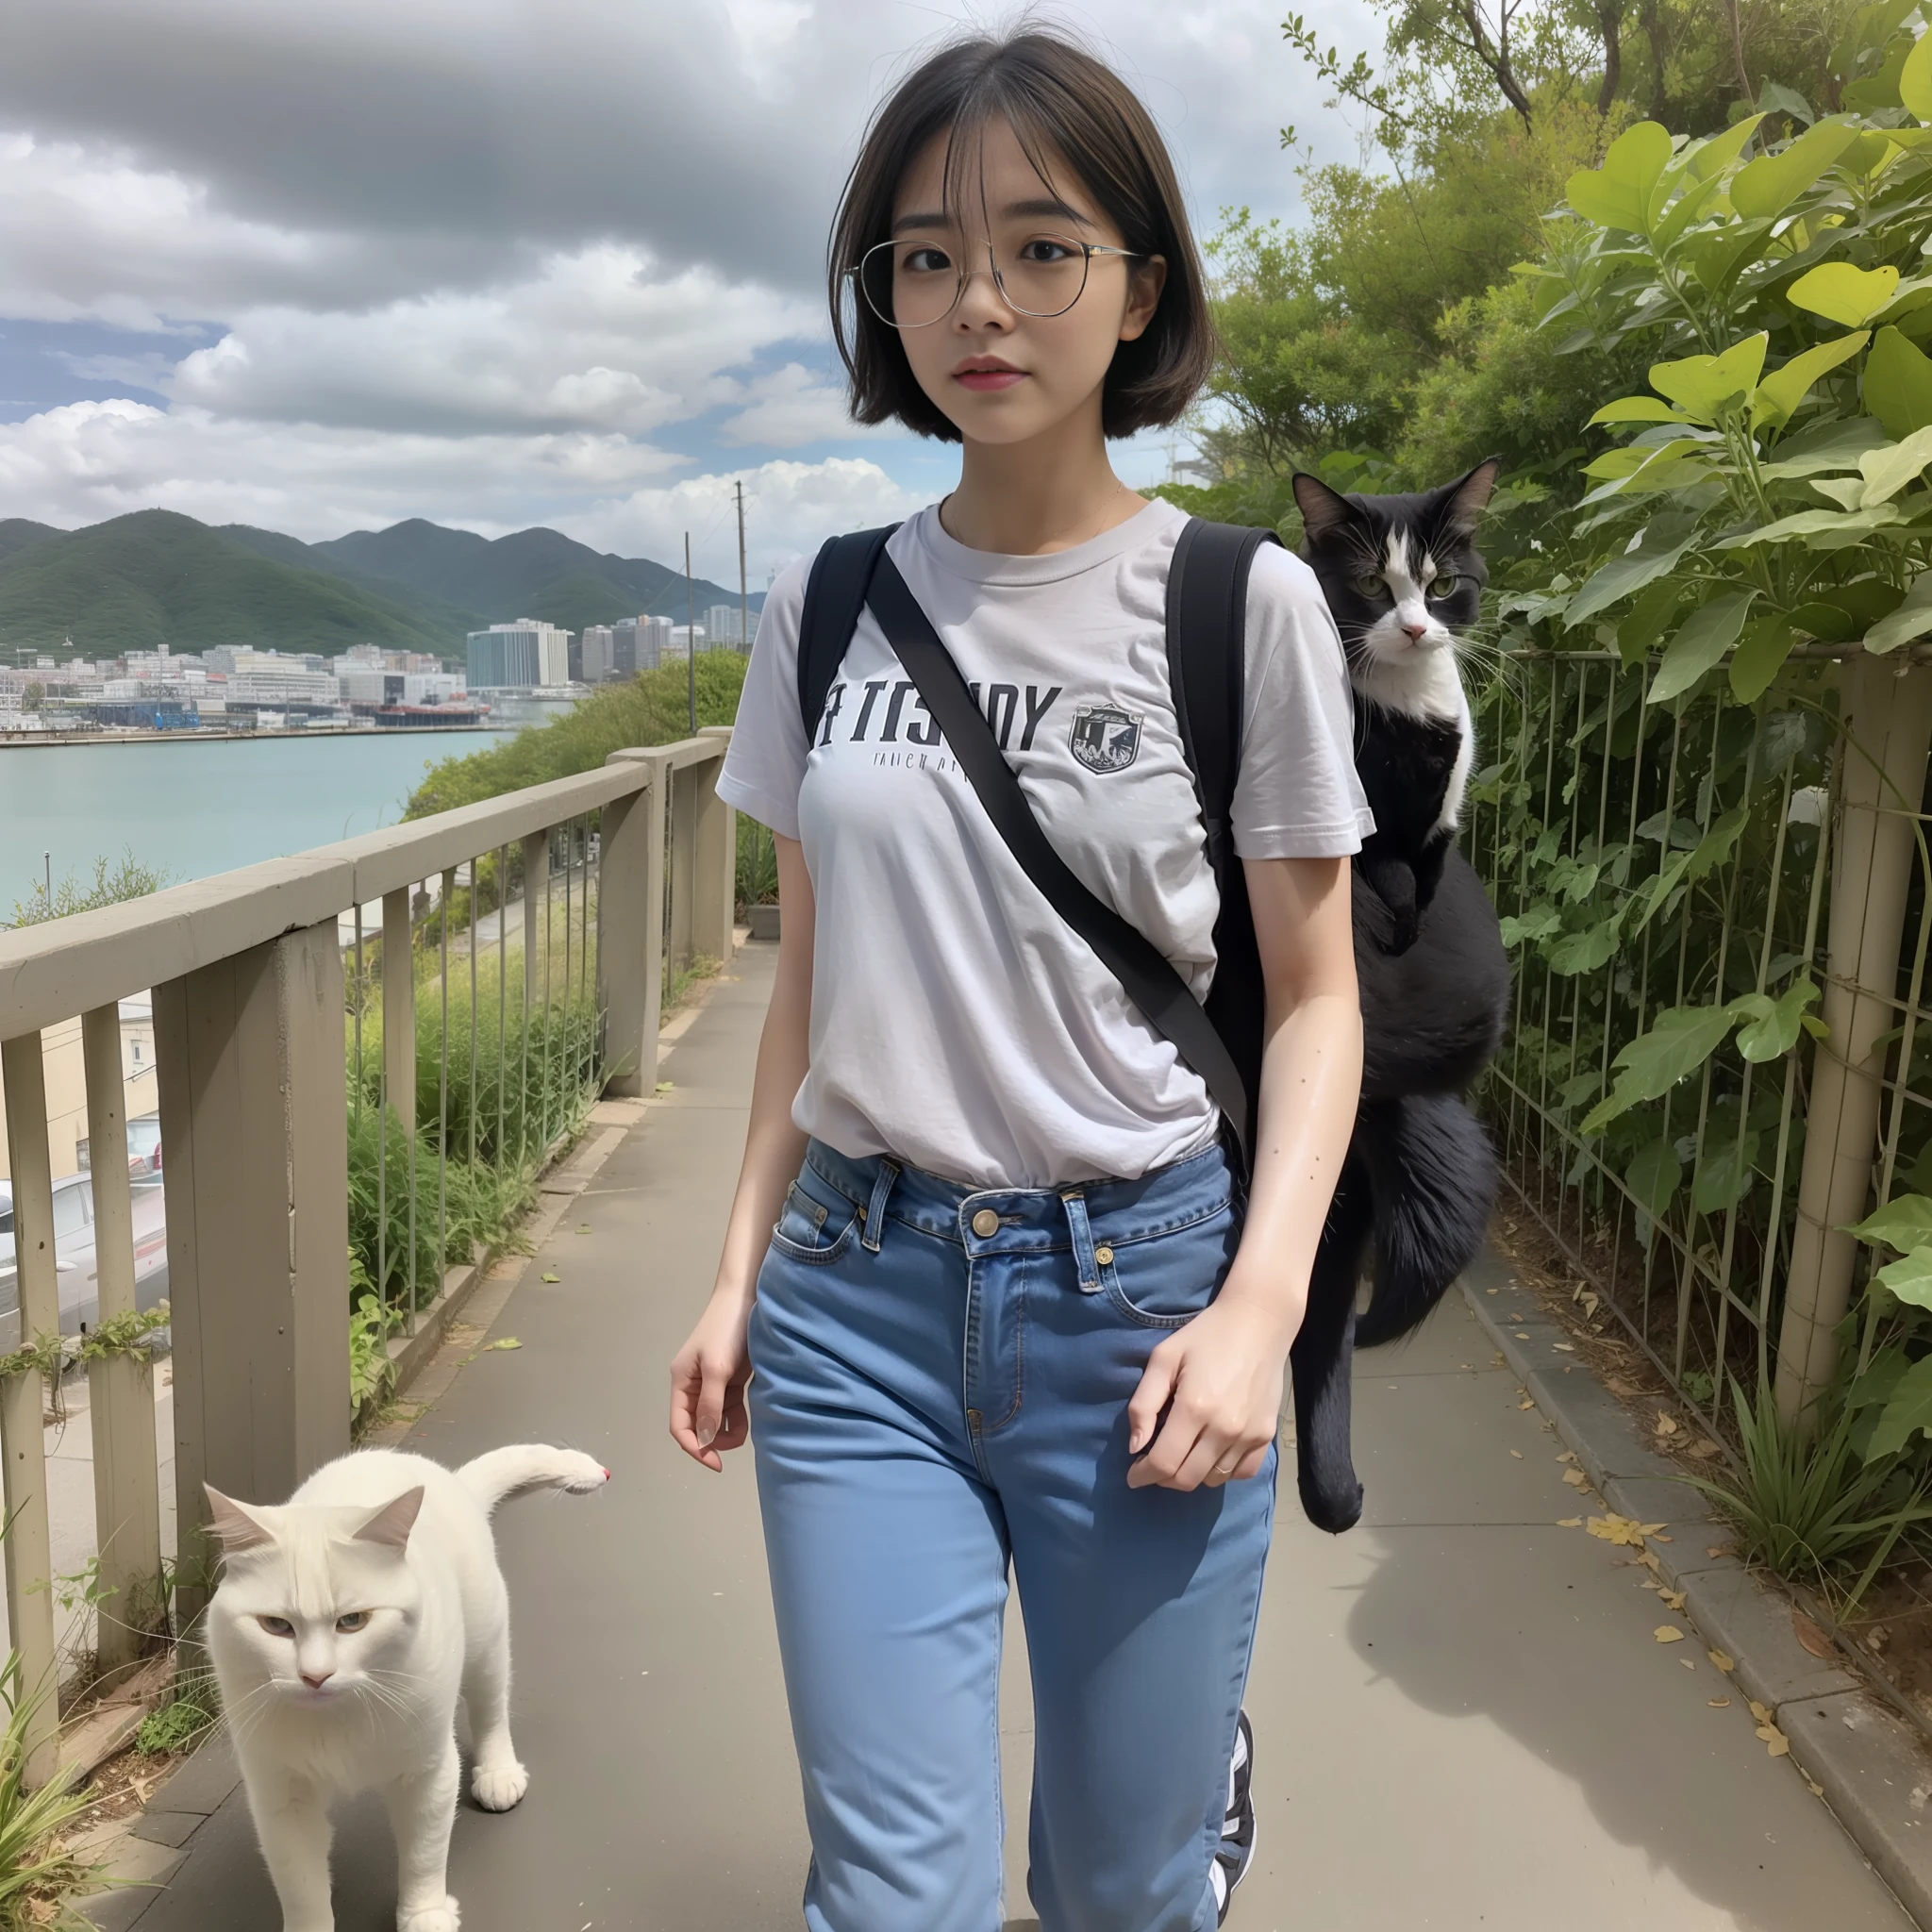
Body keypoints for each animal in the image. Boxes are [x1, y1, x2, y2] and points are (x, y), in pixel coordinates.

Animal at [204, 1444, 602, 1924]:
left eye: (353, 1621)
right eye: (276, 1626)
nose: (315, 1675)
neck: (339, 1720)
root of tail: (454, 1481)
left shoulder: (429, 1772)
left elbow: (423, 1854)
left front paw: (424, 1914)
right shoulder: (281, 1799)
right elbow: (301, 1888)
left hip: (485, 1645)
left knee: (490, 1708)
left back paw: (498, 1773)